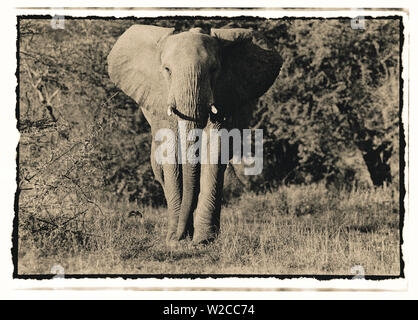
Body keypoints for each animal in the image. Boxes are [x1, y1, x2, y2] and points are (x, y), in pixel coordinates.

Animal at [108, 24, 282, 245]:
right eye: (167, 70)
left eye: (214, 70)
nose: (180, 236)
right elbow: (171, 153)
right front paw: (175, 240)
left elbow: (214, 147)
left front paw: (202, 240)